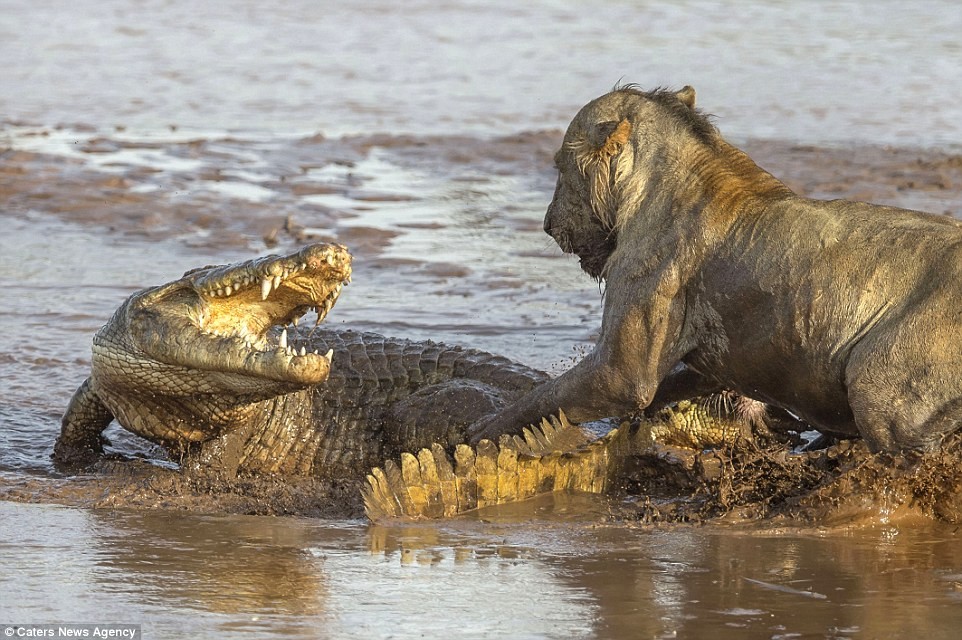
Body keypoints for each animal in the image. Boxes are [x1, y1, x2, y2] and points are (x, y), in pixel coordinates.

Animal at [468, 85, 960, 452]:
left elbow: (547, 397)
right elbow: (671, 386)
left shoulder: (622, 365)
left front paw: (479, 431)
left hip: (880, 391)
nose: (548, 224)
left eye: (559, 167)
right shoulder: (710, 360)